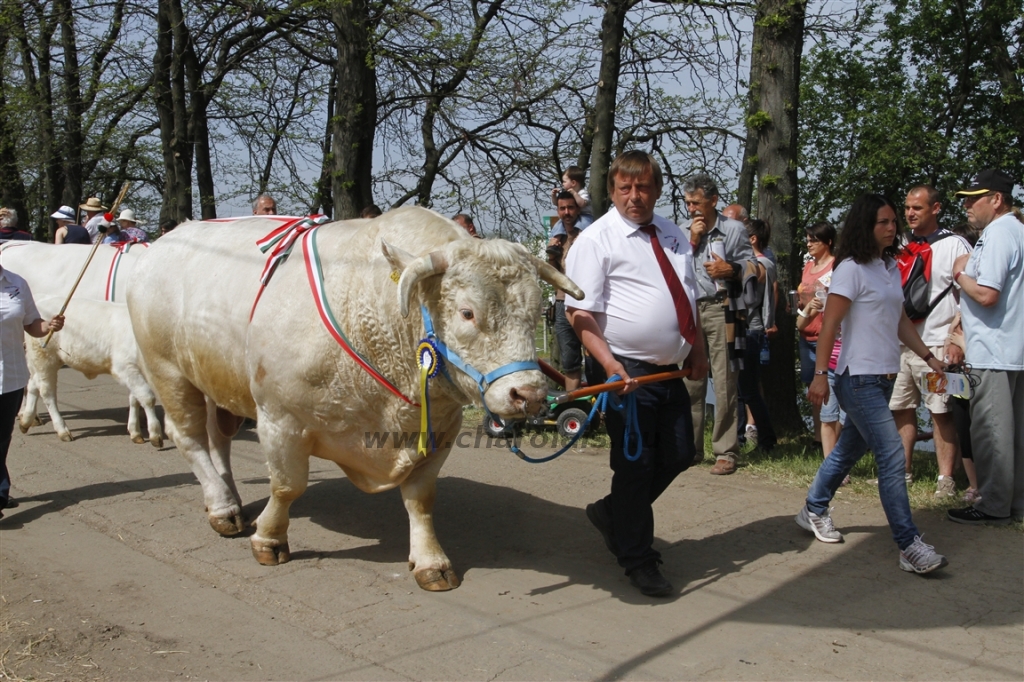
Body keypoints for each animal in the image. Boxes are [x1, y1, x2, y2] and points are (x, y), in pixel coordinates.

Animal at [18, 292, 165, 444]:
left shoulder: (137, 371)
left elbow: (135, 399)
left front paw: (135, 432)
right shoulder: (125, 367)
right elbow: (147, 397)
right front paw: (155, 434)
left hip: (41, 360)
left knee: (32, 384)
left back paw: (26, 420)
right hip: (45, 358)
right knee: (47, 392)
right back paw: (62, 430)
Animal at [123, 206, 581, 589]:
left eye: (535, 312)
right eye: (468, 313)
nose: (530, 394)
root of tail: (167, 239)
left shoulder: (440, 431)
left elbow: (421, 499)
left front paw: (430, 560)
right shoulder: (279, 418)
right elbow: (287, 485)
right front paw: (269, 539)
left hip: (214, 380)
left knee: (218, 441)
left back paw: (228, 495)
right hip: (168, 370)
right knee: (190, 439)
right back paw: (222, 508)